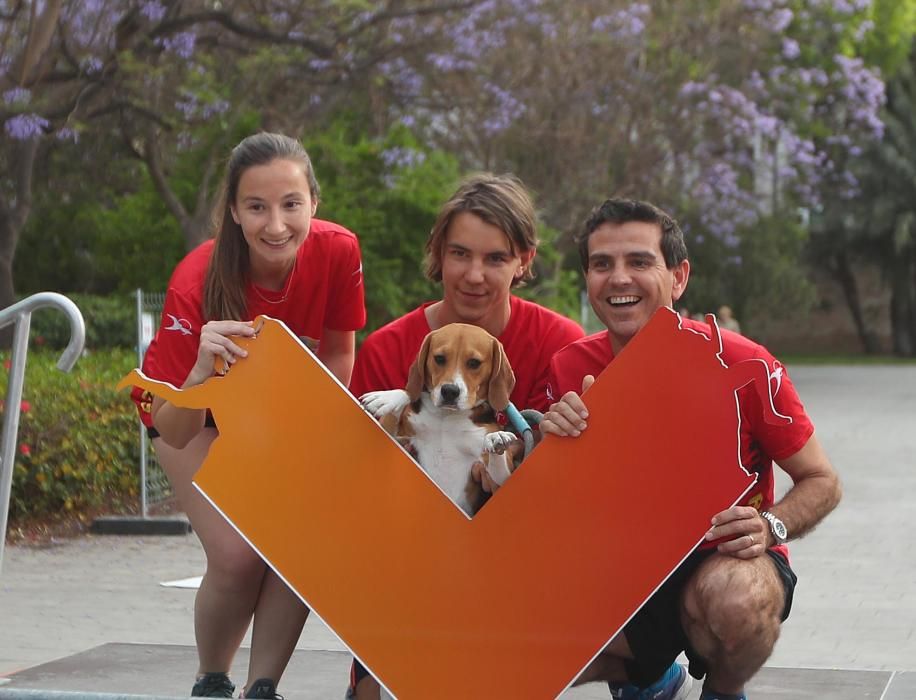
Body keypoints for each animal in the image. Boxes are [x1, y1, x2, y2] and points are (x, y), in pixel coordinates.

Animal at [364, 326, 524, 516]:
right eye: (439, 358)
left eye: (474, 363)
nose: (450, 391)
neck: (446, 417)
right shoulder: (397, 436)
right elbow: (406, 396)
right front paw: (389, 397)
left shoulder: (500, 479)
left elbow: (500, 468)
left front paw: (497, 437)